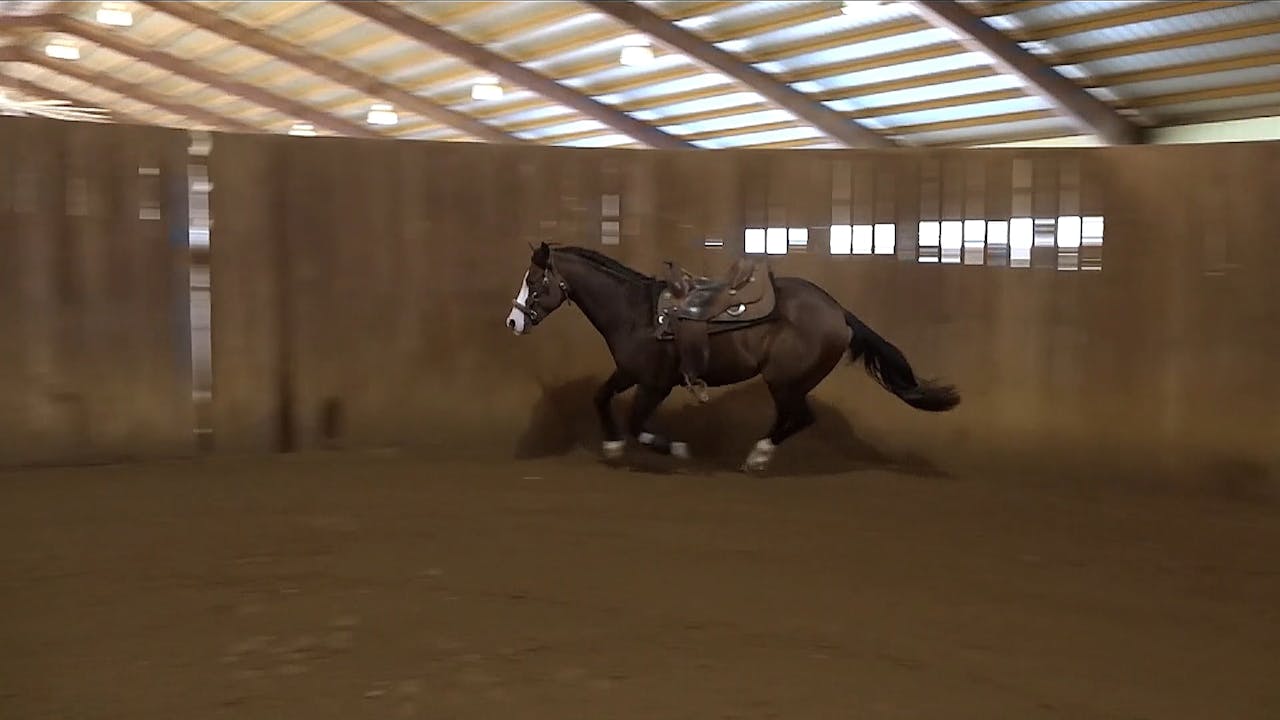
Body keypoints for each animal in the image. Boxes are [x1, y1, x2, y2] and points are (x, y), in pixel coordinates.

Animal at [504, 242, 959, 472]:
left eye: (534, 280)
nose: (512, 320)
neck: (638, 312)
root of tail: (838, 313)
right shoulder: (629, 372)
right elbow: (600, 398)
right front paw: (613, 447)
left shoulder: (655, 384)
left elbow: (638, 424)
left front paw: (674, 449)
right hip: (787, 383)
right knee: (793, 417)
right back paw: (757, 454)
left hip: (784, 380)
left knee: (800, 418)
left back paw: (758, 456)